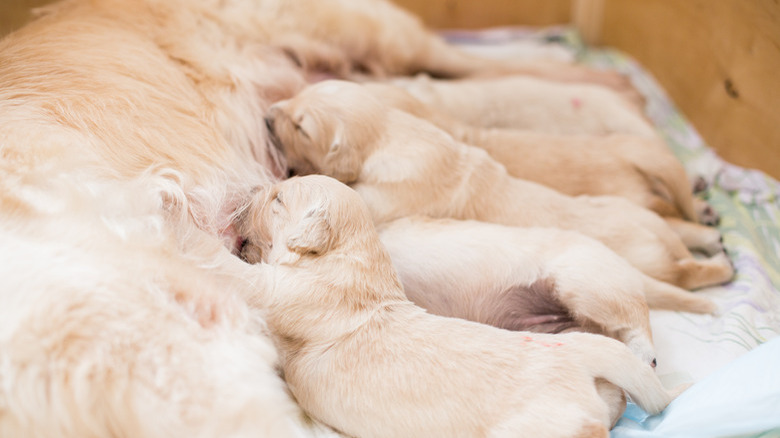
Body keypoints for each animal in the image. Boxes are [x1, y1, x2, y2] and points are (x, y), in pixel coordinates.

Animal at [238, 174, 684, 438]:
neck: (355, 254)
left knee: (635, 326)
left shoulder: (284, 289)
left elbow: (244, 275)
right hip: (573, 336)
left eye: (278, 199)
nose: (250, 190)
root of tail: (582, 360)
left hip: (584, 286)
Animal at [266, 79, 736, 290]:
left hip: (654, 260)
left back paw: (721, 266)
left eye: (301, 127)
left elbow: (346, 193)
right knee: (682, 225)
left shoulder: (386, 195)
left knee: (687, 270)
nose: (267, 115)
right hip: (635, 210)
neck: (392, 131)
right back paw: (711, 236)